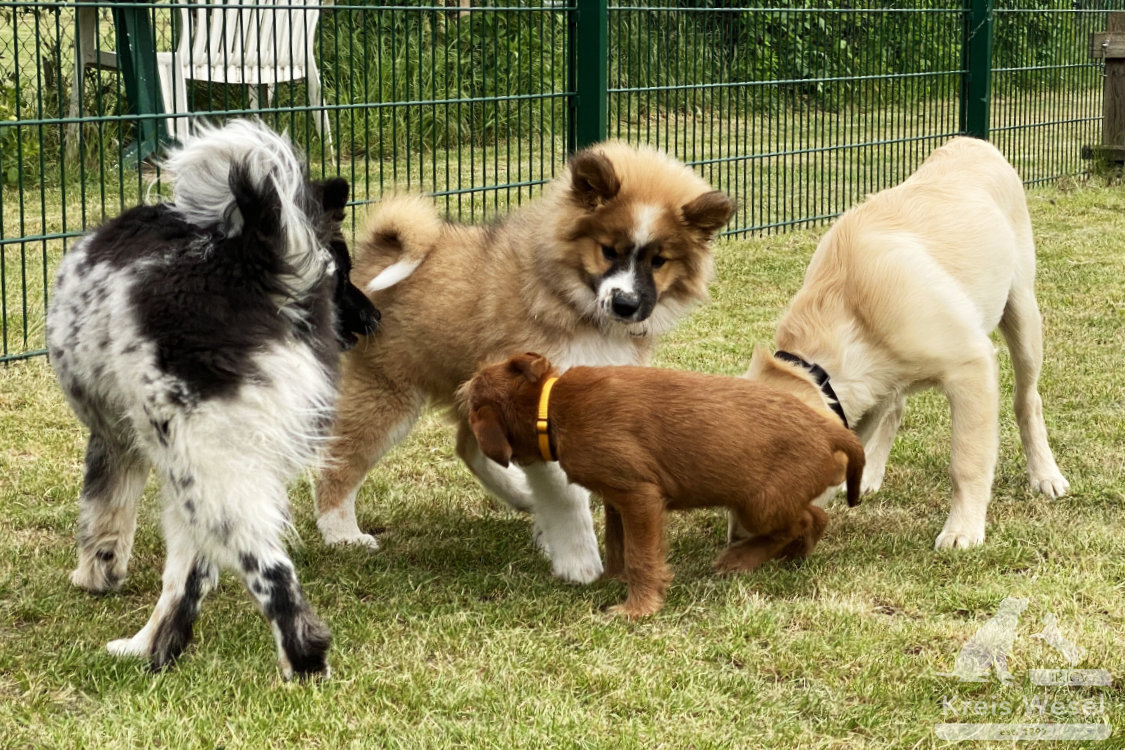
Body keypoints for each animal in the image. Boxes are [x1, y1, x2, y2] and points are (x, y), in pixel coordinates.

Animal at [45, 118, 378, 679]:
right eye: (344, 273)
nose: (374, 318)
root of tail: (259, 262)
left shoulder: (112, 439)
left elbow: (101, 511)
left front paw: (95, 574)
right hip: (198, 469)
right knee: (190, 578)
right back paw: (148, 650)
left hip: (202, 456)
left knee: (270, 573)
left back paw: (301, 666)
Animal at [312, 143, 733, 584]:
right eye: (608, 250)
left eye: (659, 261)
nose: (625, 304)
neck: (572, 302)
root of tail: (376, 254)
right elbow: (567, 499)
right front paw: (580, 563)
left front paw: (555, 539)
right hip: (387, 390)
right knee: (339, 462)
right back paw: (342, 533)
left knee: (469, 445)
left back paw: (521, 494)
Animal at [461, 355, 864, 620]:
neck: (552, 406)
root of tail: (830, 429)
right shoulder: (617, 499)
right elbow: (617, 544)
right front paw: (612, 578)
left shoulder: (639, 496)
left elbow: (641, 555)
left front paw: (636, 608)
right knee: (816, 517)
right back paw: (793, 554)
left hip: (758, 505)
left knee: (805, 519)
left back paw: (743, 558)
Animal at [742, 137, 1066, 550]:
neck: (846, 305)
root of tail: (972, 139)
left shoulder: (972, 366)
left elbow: (967, 461)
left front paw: (963, 530)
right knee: (895, 409)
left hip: (1022, 311)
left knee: (1028, 399)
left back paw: (1046, 475)